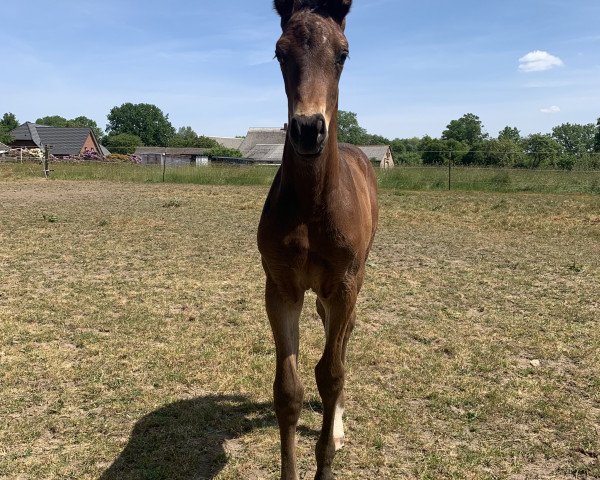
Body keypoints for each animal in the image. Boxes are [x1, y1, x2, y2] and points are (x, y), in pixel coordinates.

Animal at [258, 1, 380, 478]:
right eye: (279, 53)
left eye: (343, 54)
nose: (308, 129)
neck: (313, 206)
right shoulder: (281, 289)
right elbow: (288, 390)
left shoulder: (344, 285)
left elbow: (331, 374)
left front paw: (329, 452)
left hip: (351, 284)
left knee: (343, 340)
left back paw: (340, 425)